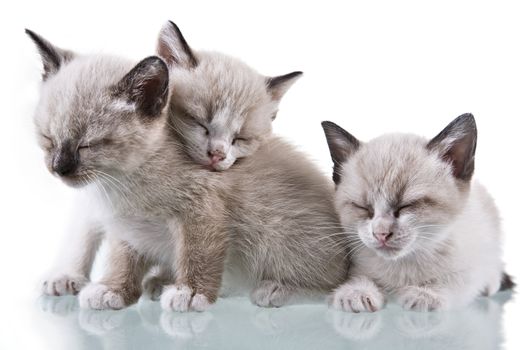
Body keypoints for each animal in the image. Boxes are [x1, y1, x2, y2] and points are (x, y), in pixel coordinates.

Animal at [29, 29, 348, 308]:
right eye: (47, 138)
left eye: (89, 145)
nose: (59, 168)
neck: (119, 183)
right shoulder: (126, 227)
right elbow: (118, 257)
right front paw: (114, 290)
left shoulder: (202, 211)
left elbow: (198, 253)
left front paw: (192, 294)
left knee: (329, 285)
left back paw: (277, 289)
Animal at [320, 115, 512, 312]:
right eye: (364, 207)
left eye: (407, 205)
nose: (381, 234)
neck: (404, 264)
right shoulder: (359, 262)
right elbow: (359, 276)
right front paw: (356, 292)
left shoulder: (470, 265)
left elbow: (453, 281)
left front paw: (425, 295)